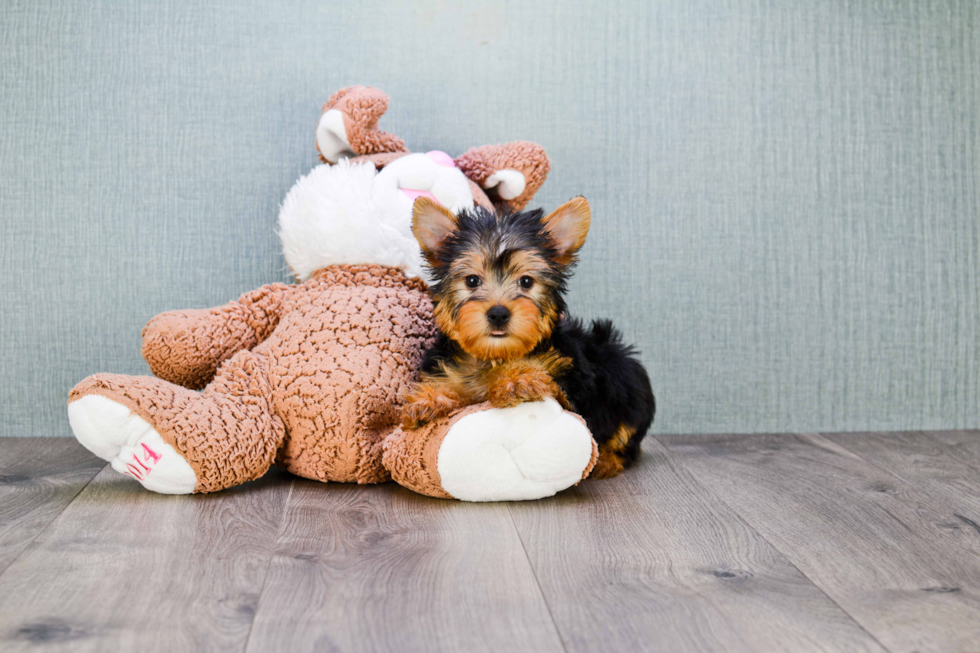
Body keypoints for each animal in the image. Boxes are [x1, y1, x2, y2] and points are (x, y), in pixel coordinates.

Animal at [402, 196, 656, 476]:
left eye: (526, 282)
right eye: (472, 281)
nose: (498, 313)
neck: (494, 354)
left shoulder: (571, 384)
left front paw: (517, 380)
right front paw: (429, 400)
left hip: (625, 380)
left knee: (626, 436)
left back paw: (606, 461)